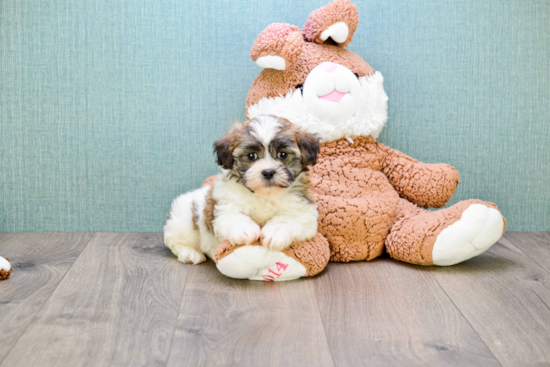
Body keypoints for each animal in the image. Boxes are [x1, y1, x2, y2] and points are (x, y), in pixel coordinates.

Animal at [164, 115, 322, 264]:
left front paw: (275, 232)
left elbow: (288, 218)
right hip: (184, 222)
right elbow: (234, 216)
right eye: (251, 155)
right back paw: (190, 253)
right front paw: (245, 230)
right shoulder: (224, 206)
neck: (265, 195)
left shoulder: (304, 211)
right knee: (176, 242)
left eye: (282, 154)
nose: (268, 172)